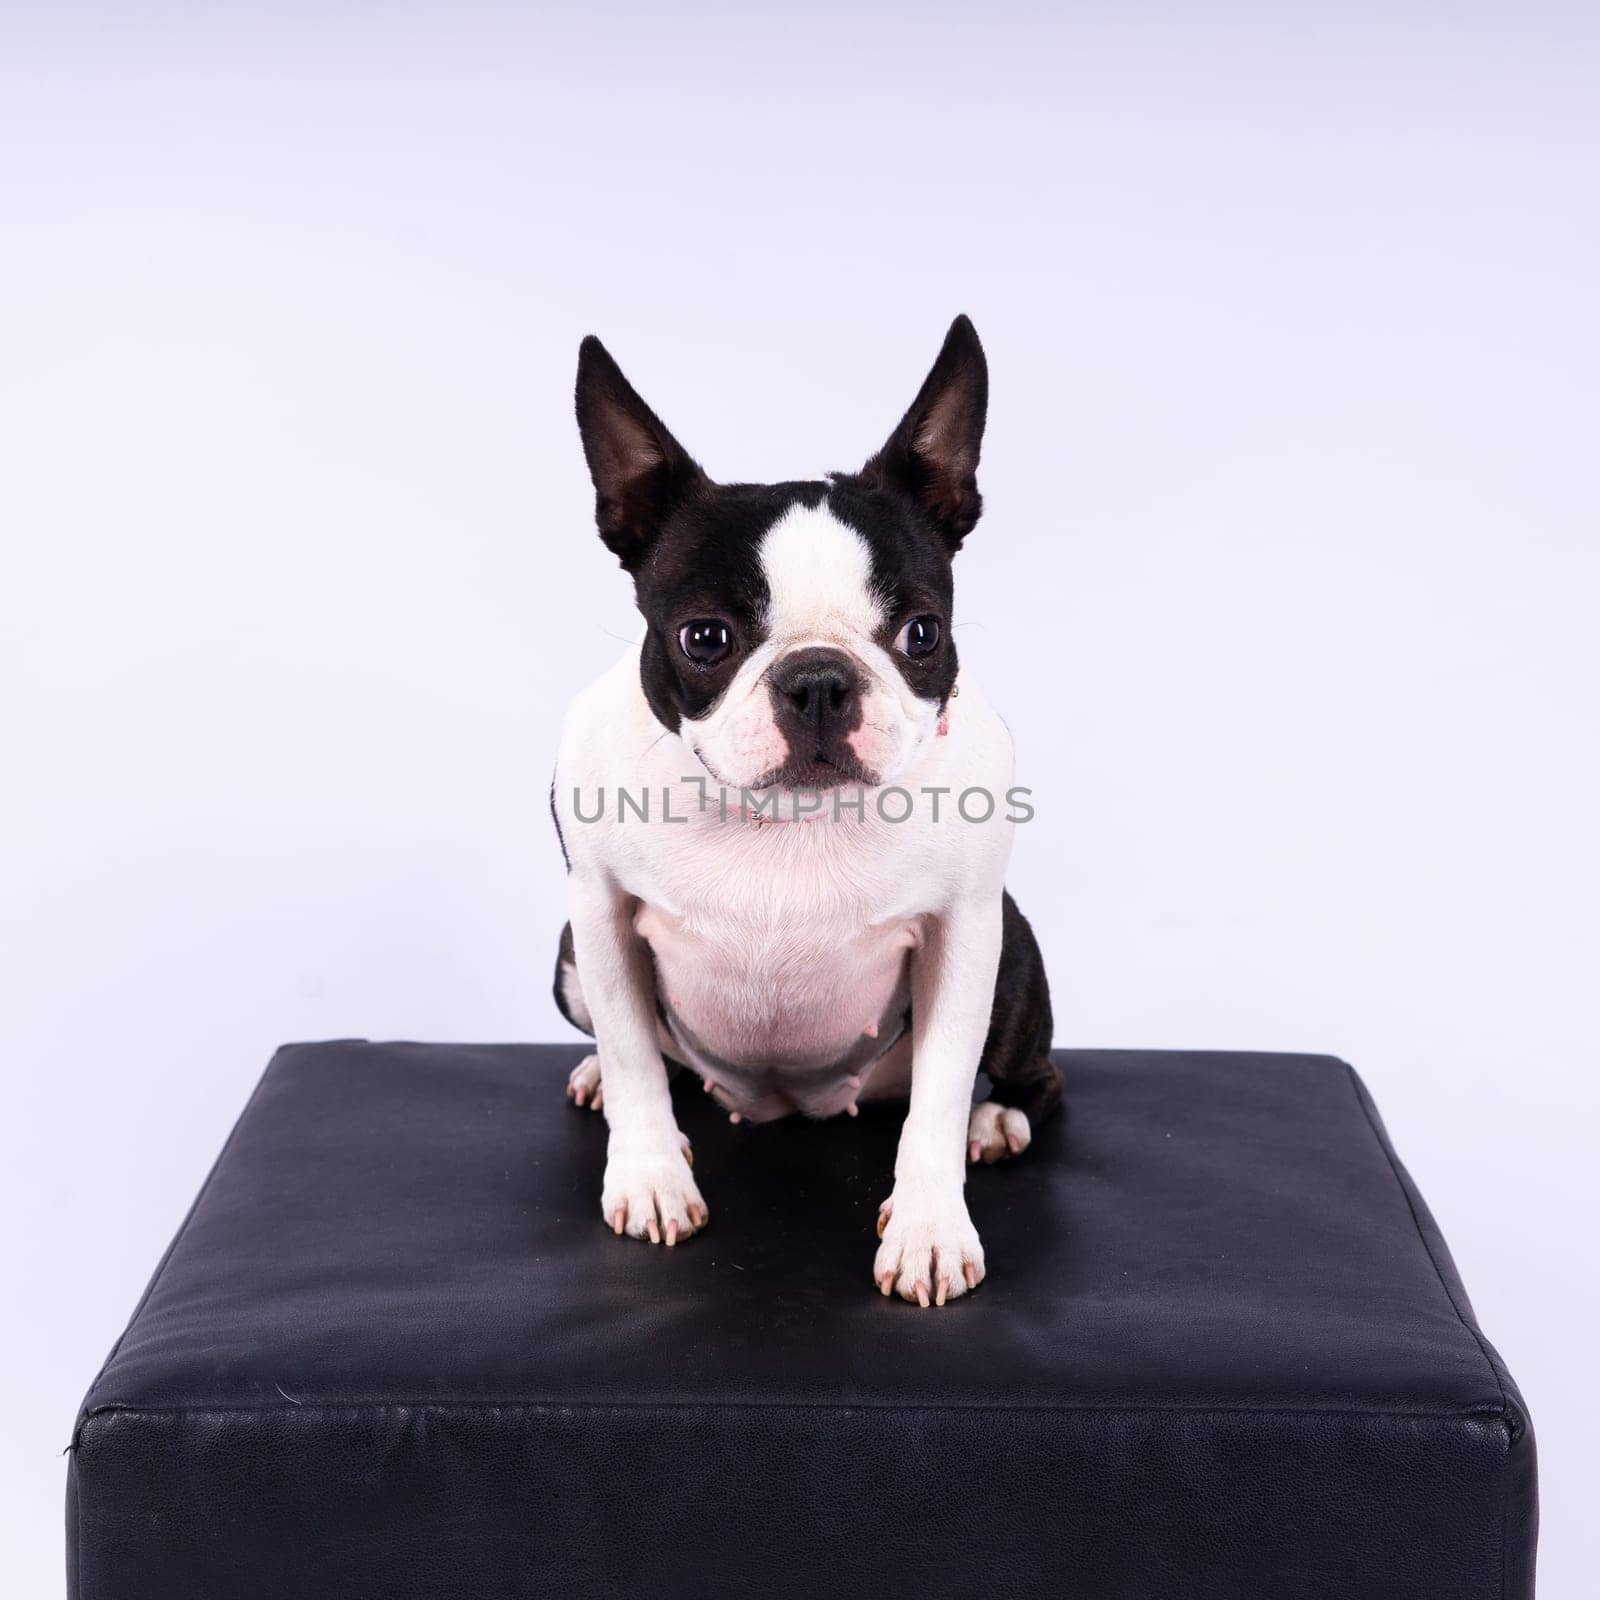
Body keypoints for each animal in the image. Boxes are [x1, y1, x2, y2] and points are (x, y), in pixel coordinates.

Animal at [550, 318, 1062, 1305]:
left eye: (921, 634)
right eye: (704, 637)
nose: (819, 679)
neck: (784, 823)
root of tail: (789, 1103)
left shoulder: (967, 927)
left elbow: (941, 1092)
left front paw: (932, 1227)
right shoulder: (597, 910)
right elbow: (635, 1054)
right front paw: (649, 1175)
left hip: (1015, 953)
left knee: (1025, 1079)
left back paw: (996, 1122)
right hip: (565, 962)